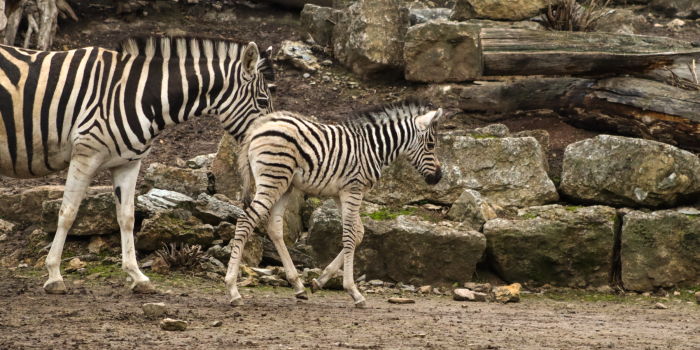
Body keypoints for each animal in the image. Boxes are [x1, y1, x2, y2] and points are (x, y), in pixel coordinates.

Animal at [1, 34, 278, 292]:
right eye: (263, 102)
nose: (270, 139)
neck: (139, 94)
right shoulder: (85, 155)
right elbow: (68, 214)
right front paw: (54, 276)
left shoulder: (128, 162)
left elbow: (127, 217)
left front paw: (137, 276)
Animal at [224, 98, 442, 306]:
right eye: (431, 145)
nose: (439, 177)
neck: (374, 148)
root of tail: (259, 126)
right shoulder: (353, 190)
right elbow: (350, 235)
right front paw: (353, 291)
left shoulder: (340, 194)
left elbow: (358, 233)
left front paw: (319, 281)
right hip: (273, 178)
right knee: (245, 221)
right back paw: (233, 290)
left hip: (285, 185)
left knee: (274, 227)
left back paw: (298, 285)